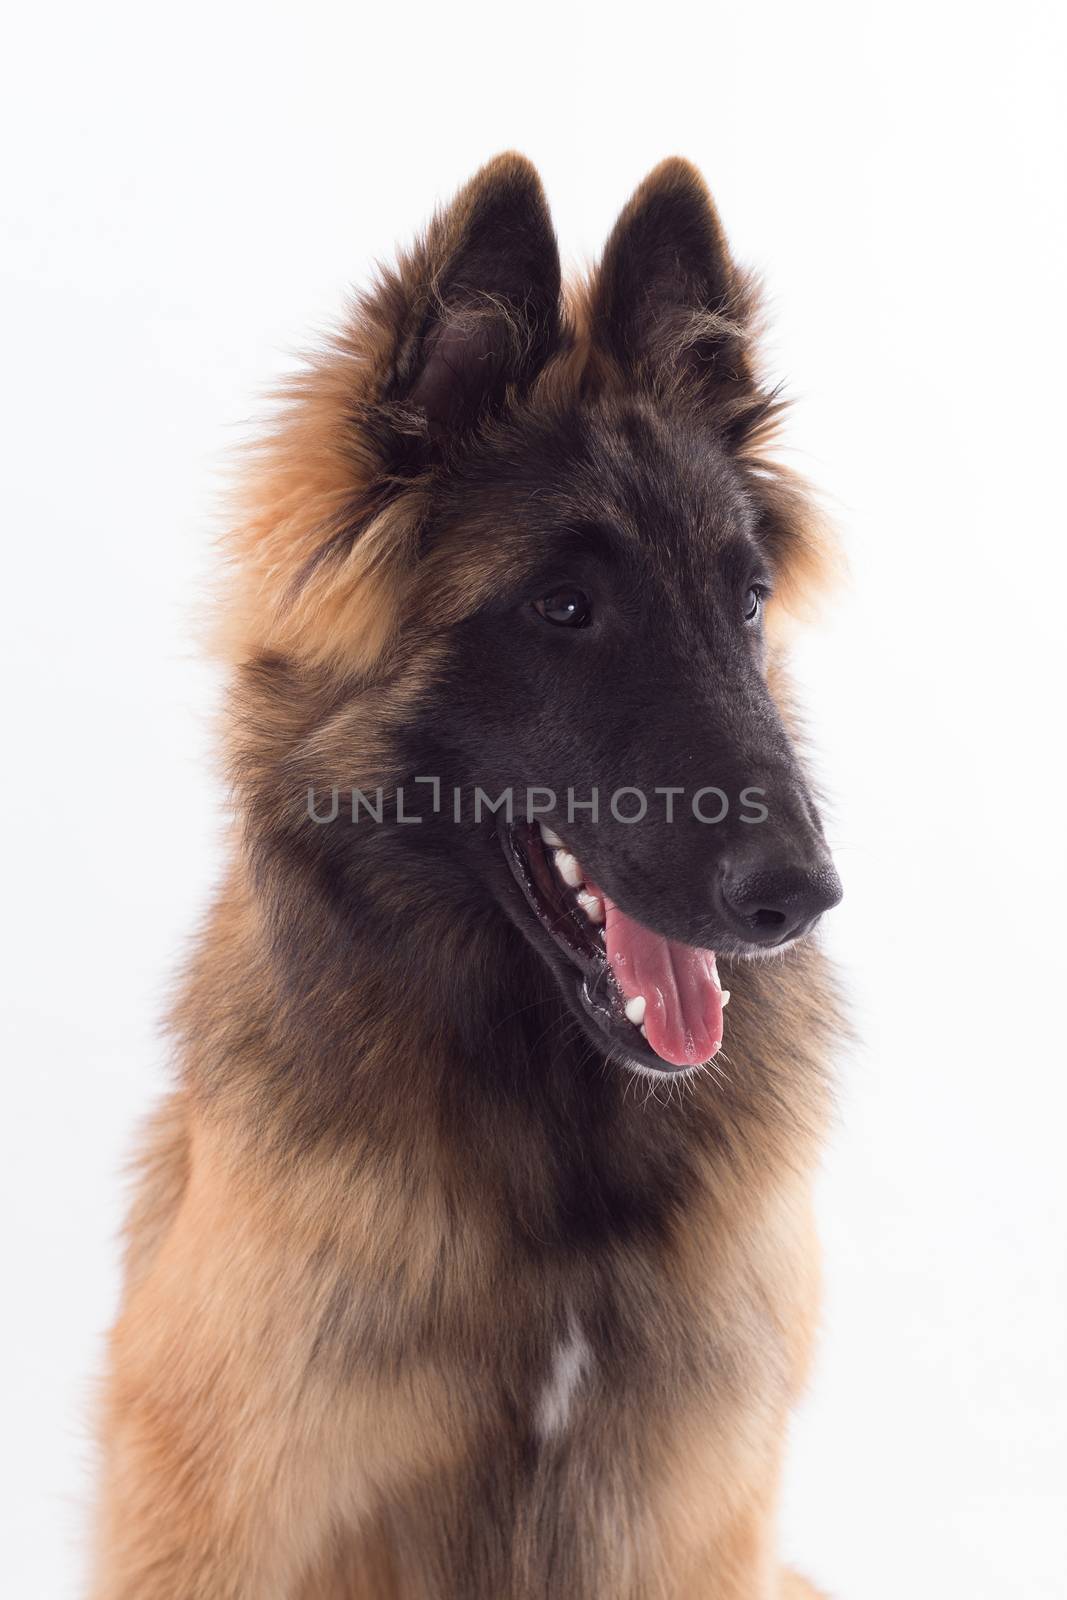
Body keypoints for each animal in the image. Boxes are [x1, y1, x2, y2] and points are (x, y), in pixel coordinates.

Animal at [89, 152, 844, 1600]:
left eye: (742, 597)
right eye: (563, 609)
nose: (797, 897)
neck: (554, 1135)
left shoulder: (685, 1512)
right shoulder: (232, 1508)